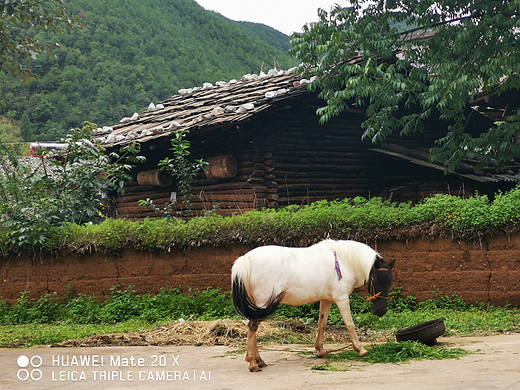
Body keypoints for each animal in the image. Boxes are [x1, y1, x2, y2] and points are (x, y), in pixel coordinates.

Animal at [233, 238, 394, 372]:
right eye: (375, 280)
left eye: (389, 282)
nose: (381, 310)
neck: (345, 262)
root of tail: (246, 259)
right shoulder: (341, 298)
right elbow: (350, 324)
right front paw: (360, 349)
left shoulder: (326, 300)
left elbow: (321, 324)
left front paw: (320, 350)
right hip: (262, 305)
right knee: (252, 327)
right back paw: (253, 363)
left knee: (251, 327)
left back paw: (259, 361)